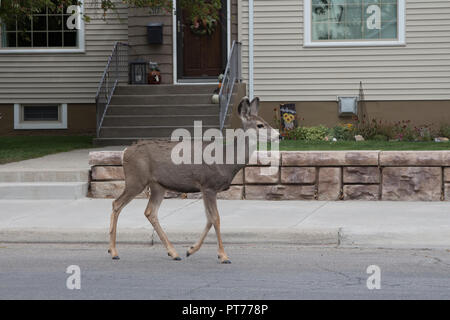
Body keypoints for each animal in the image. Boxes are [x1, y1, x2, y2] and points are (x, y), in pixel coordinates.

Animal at [108, 97, 278, 262]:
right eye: (260, 125)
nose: (279, 135)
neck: (226, 160)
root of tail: (125, 152)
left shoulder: (204, 188)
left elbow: (209, 219)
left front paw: (191, 250)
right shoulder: (209, 185)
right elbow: (215, 218)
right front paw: (223, 256)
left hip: (157, 185)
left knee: (150, 212)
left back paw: (173, 253)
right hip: (136, 179)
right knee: (117, 203)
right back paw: (113, 251)